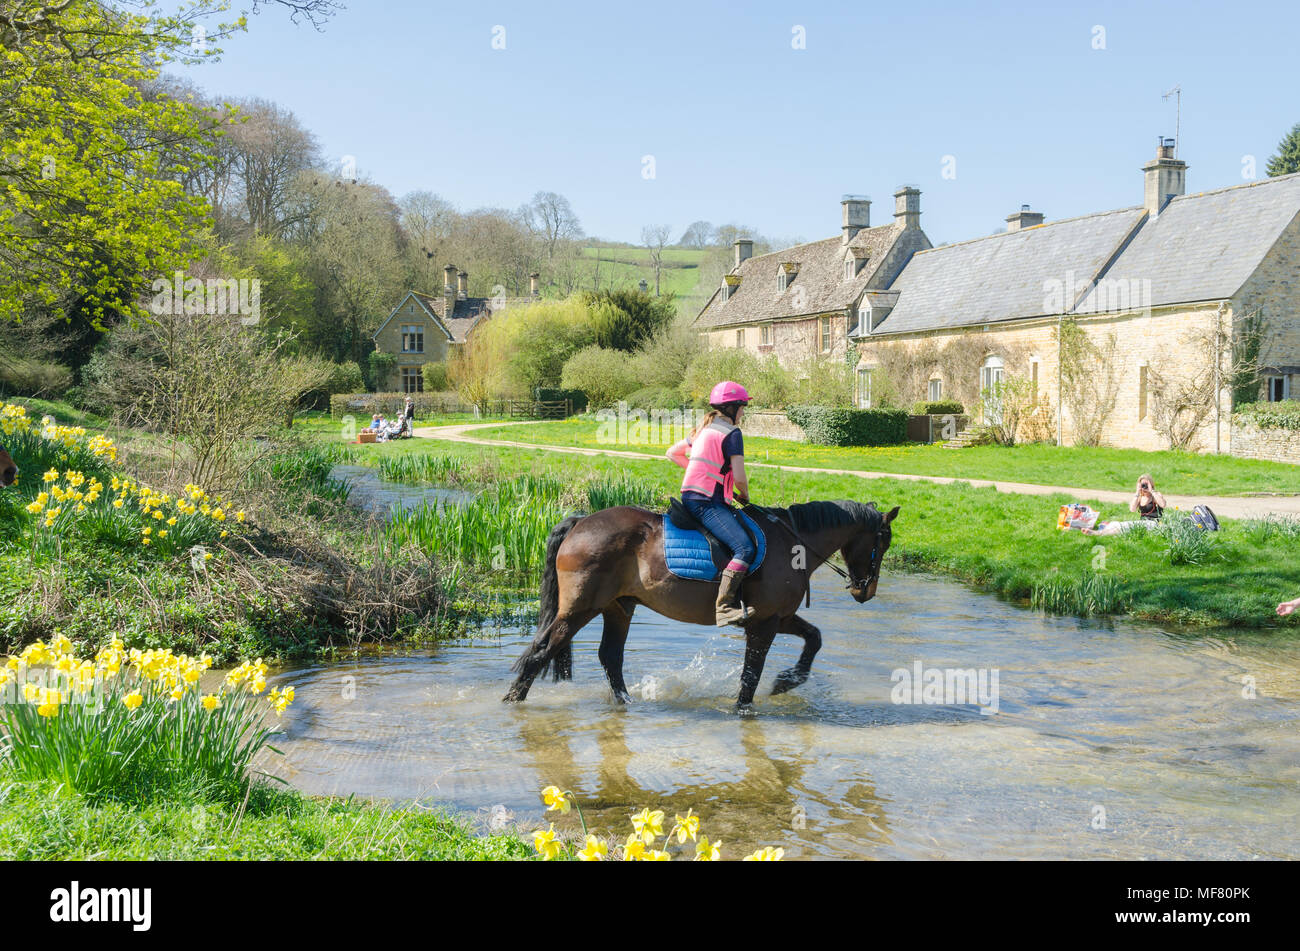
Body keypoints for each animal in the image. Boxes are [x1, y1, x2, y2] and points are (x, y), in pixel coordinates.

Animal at [501, 501, 899, 711]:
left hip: (618, 607)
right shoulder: (765, 624)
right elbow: (751, 673)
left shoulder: (779, 617)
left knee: (609, 657)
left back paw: (627, 703)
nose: (865, 591)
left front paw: (787, 681)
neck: (793, 544)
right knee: (540, 654)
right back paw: (512, 701)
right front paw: (743, 708)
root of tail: (580, 521)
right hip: (580, 609)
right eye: (882, 543)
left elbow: (814, 638)